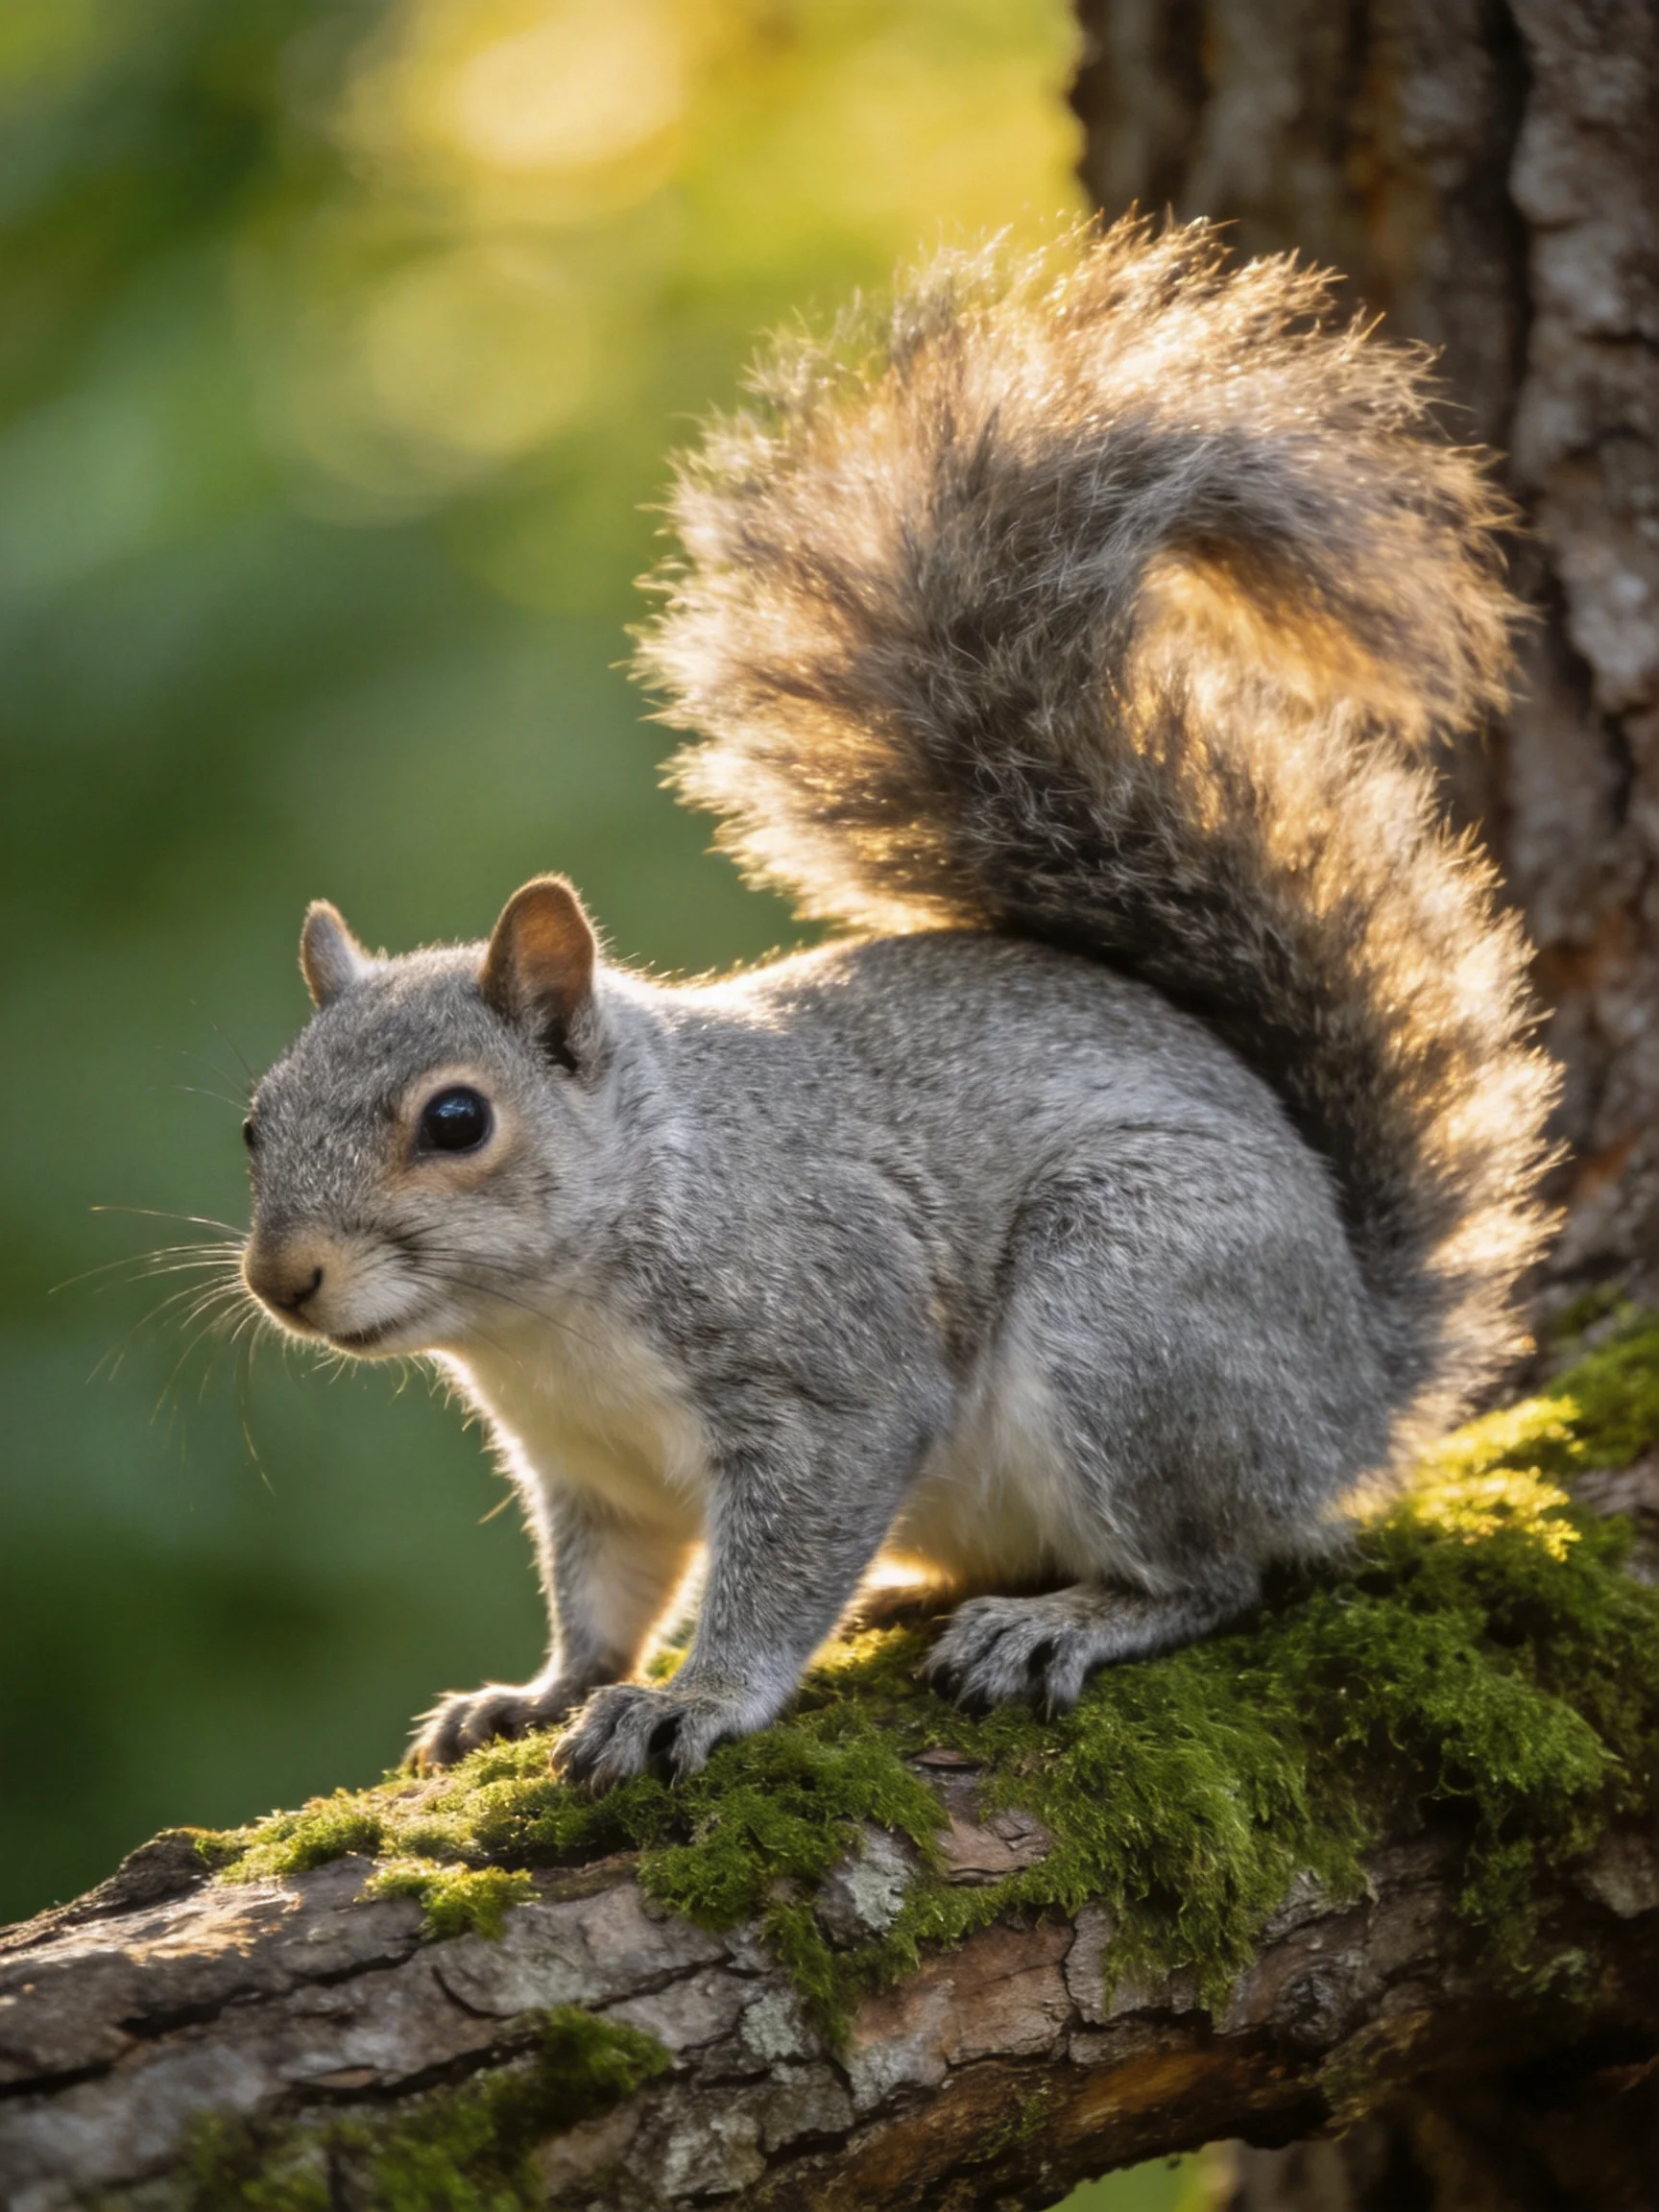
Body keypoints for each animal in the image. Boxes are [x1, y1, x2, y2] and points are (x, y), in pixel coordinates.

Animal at [238, 219, 1557, 1789]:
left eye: (455, 1122)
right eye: (254, 1123)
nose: (282, 1279)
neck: (555, 1314)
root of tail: (1359, 1380)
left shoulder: (831, 1372)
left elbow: (780, 1561)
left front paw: (695, 1699)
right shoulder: (590, 1475)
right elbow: (603, 1596)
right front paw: (541, 1692)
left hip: (1137, 1311)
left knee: (1217, 1571)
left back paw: (1069, 1620)